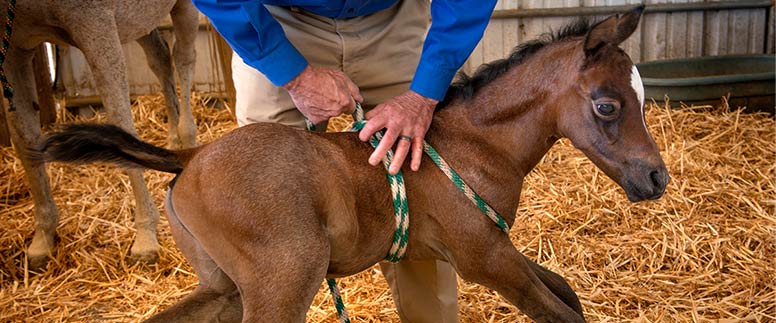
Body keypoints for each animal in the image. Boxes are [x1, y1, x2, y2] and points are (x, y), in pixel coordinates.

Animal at [4, 0, 199, 270]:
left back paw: (187, 138)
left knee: (184, 57)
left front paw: (145, 238)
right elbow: (24, 137)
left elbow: (121, 123)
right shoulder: (14, 48)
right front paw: (43, 238)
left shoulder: (96, 25)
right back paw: (172, 142)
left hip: (184, 7)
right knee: (159, 58)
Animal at [34, 5, 668, 323]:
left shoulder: (493, 248)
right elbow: (562, 312)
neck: (472, 144)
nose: (655, 177)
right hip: (284, 280)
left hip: (224, 285)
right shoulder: (483, 258)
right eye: (607, 105)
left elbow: (566, 293)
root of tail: (188, 157)